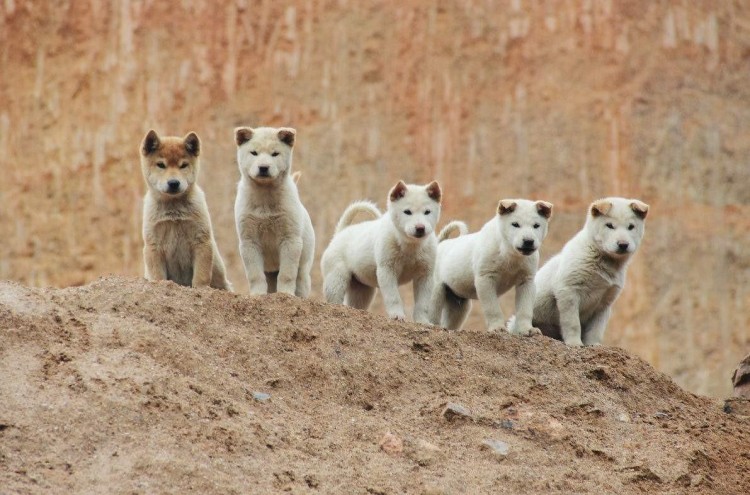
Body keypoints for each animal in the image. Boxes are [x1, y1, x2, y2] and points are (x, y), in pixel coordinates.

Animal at [141, 130, 232, 290]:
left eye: (183, 165)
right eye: (161, 165)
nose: (173, 183)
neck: (173, 210)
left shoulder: (201, 241)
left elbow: (201, 277)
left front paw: (200, 289)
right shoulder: (153, 246)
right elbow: (158, 276)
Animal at [236, 128, 316, 298]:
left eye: (275, 154)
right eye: (254, 152)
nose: (263, 167)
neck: (265, 199)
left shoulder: (290, 240)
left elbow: (287, 274)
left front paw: (285, 294)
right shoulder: (248, 240)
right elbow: (255, 274)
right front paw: (257, 294)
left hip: (304, 266)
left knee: (300, 281)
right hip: (270, 272)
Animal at [320, 180, 444, 324]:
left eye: (427, 212)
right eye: (407, 212)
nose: (420, 228)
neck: (410, 246)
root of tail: (340, 233)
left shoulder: (425, 275)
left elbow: (423, 303)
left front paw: (422, 321)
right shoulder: (387, 270)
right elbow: (393, 297)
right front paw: (397, 315)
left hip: (362, 289)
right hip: (336, 278)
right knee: (335, 297)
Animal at [428, 200, 552, 336]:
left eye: (536, 225)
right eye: (515, 224)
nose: (528, 241)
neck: (509, 252)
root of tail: (440, 244)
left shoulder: (526, 281)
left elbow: (525, 309)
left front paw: (527, 329)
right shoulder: (485, 278)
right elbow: (492, 308)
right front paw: (498, 328)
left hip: (458, 304)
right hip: (435, 291)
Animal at [532, 196, 648, 346]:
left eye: (631, 227)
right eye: (609, 225)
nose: (623, 244)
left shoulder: (604, 302)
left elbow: (596, 328)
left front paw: (594, 345)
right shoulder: (568, 290)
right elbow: (573, 322)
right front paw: (575, 343)